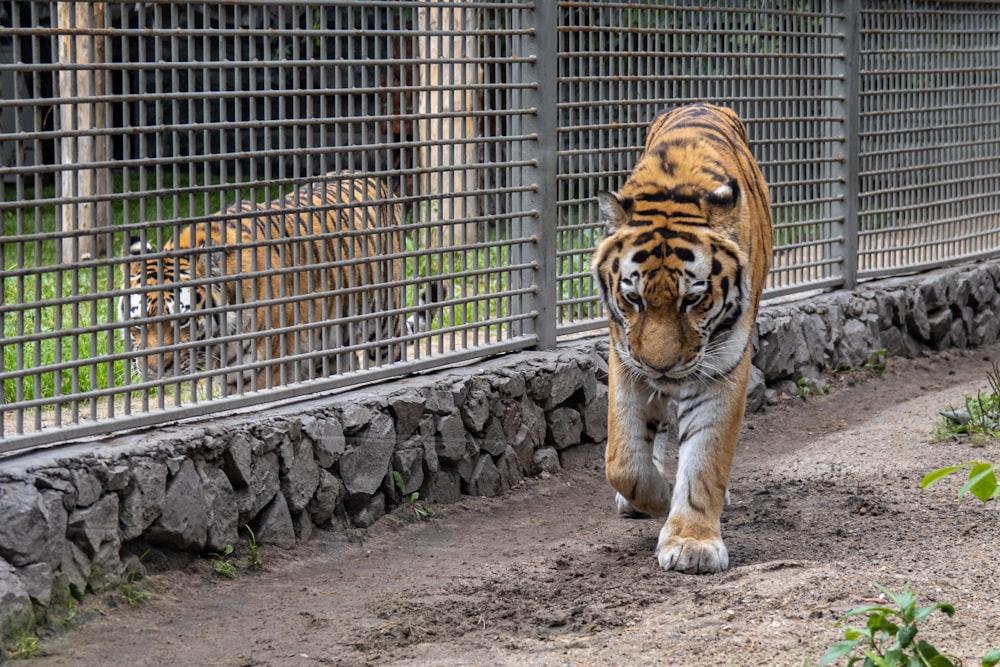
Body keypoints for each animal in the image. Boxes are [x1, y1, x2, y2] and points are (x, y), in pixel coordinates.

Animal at [592, 103, 772, 576]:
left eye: (693, 299)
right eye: (632, 297)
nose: (661, 366)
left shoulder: (723, 367)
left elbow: (706, 460)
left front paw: (692, 541)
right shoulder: (625, 356)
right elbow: (623, 459)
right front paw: (655, 498)